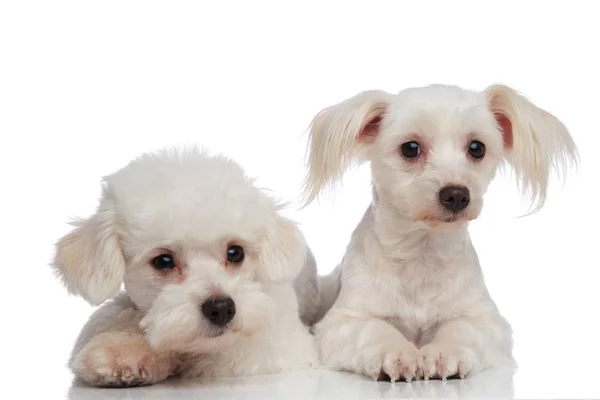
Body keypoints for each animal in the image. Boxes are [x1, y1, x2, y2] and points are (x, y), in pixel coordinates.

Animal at [302, 83, 580, 382]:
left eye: (477, 148)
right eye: (410, 148)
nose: (457, 194)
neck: (422, 255)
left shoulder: (486, 320)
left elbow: (461, 329)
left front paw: (445, 353)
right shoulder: (343, 321)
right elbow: (374, 330)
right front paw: (395, 353)